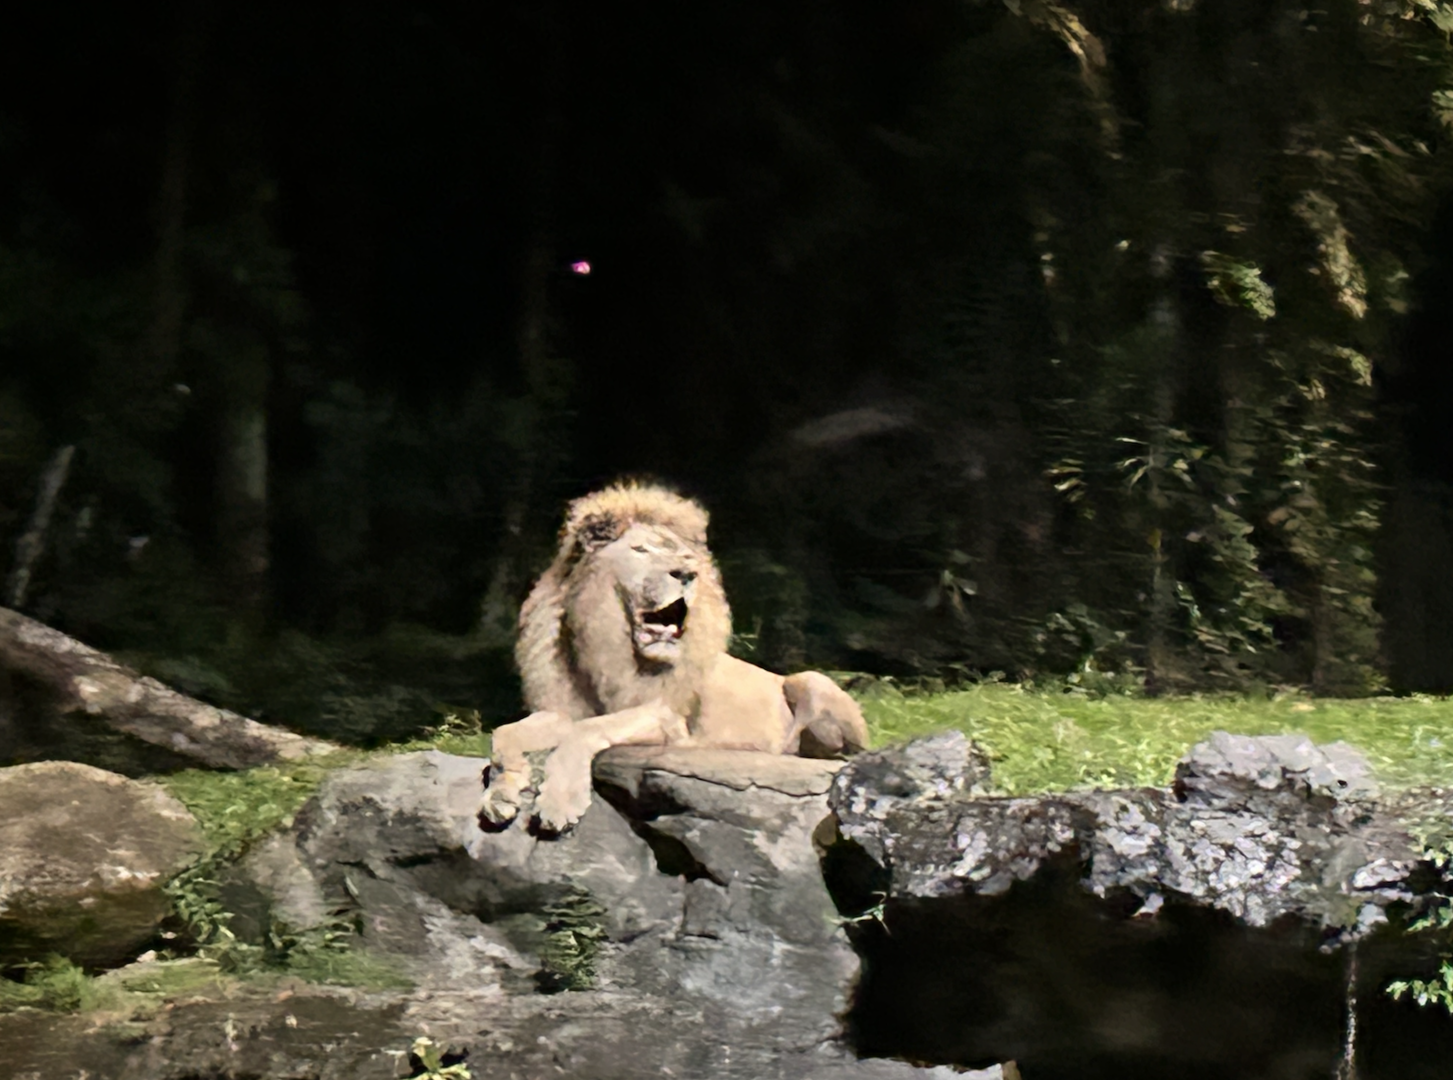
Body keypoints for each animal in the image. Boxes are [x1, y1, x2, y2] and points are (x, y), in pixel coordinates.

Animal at [478, 480, 869, 834]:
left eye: (685, 557)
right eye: (640, 550)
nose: (686, 573)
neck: (602, 649)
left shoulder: (667, 718)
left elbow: (586, 731)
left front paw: (559, 802)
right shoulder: (561, 708)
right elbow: (505, 733)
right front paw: (501, 794)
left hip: (811, 682)